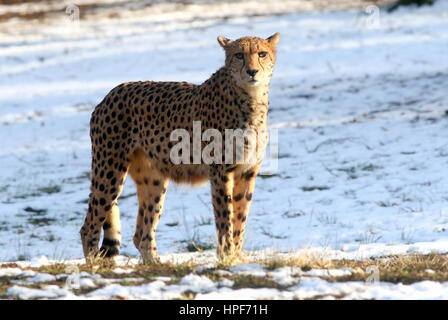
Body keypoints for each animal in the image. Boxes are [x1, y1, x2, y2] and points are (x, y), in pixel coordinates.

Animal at [80, 32, 280, 264]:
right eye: (239, 55)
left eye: (262, 54)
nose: (252, 71)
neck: (250, 98)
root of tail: (112, 92)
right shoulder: (221, 172)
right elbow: (225, 218)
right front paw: (226, 257)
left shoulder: (247, 172)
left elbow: (240, 218)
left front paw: (236, 257)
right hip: (109, 170)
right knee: (89, 225)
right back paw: (94, 264)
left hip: (153, 179)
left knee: (141, 234)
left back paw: (155, 264)